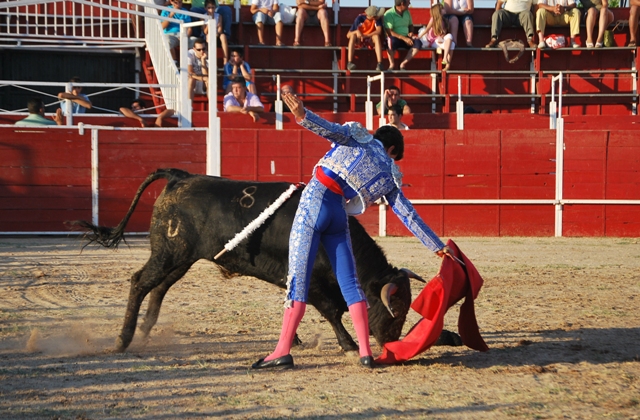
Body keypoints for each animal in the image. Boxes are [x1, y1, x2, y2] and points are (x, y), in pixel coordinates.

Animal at [72, 169, 458, 352]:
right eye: (396, 307)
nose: (391, 342)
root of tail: (180, 176)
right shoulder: (313, 283)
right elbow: (330, 311)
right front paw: (347, 344)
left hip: (181, 259)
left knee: (159, 287)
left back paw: (146, 331)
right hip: (169, 253)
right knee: (140, 282)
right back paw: (123, 340)